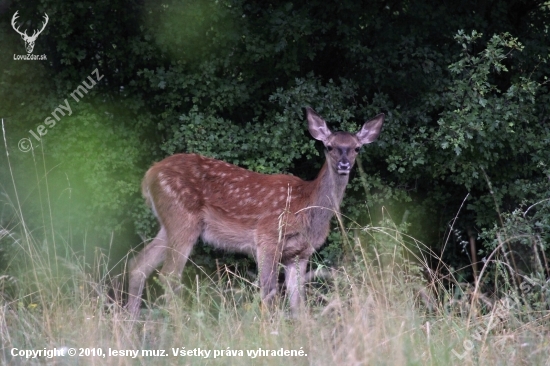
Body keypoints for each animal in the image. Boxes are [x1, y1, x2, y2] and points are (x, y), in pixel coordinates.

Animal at [128, 107, 388, 316]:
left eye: (357, 148)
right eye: (329, 146)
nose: (344, 164)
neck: (308, 207)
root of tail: (149, 175)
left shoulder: (300, 254)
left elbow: (297, 302)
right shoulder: (267, 237)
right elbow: (268, 291)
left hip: (170, 224)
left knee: (139, 265)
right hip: (183, 218)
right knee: (168, 275)